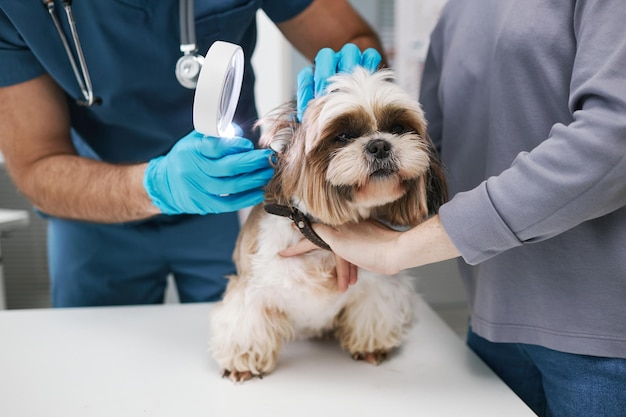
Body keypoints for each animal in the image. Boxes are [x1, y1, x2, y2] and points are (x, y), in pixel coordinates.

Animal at [207, 66, 446, 382]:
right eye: (342, 136)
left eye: (397, 128)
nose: (379, 145)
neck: (317, 242)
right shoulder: (251, 288)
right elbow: (246, 324)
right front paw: (243, 363)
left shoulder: (378, 285)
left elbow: (374, 312)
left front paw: (371, 347)